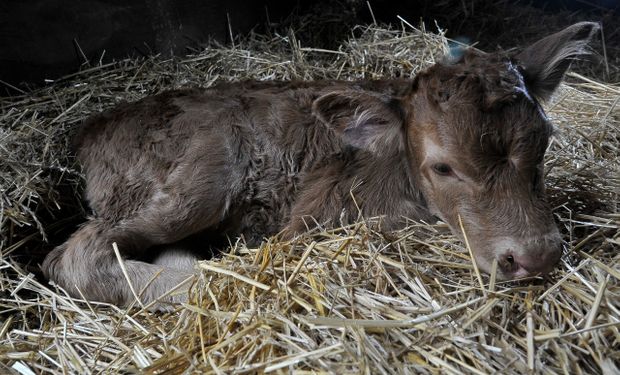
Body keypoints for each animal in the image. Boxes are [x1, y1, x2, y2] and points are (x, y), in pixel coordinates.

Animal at [41, 22, 600, 306]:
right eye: (443, 168)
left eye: (544, 144)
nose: (536, 257)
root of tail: (92, 123)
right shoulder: (316, 219)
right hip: (198, 180)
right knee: (75, 256)